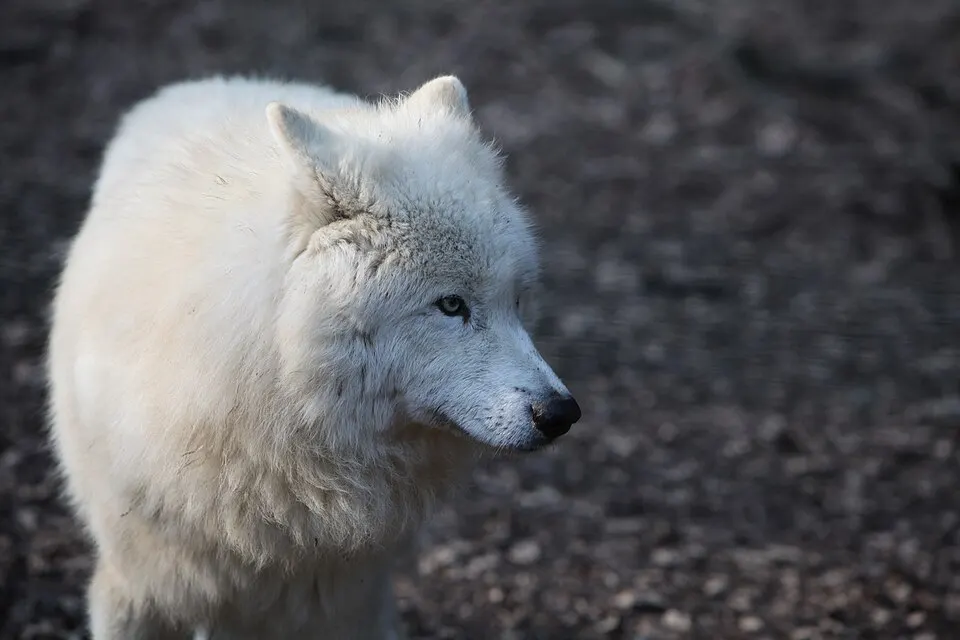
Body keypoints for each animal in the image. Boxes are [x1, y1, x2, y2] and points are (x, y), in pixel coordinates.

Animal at [45, 74, 581, 639]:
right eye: (451, 305)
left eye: (515, 301)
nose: (562, 413)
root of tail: (223, 78)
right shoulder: (138, 586)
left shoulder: (349, 597)